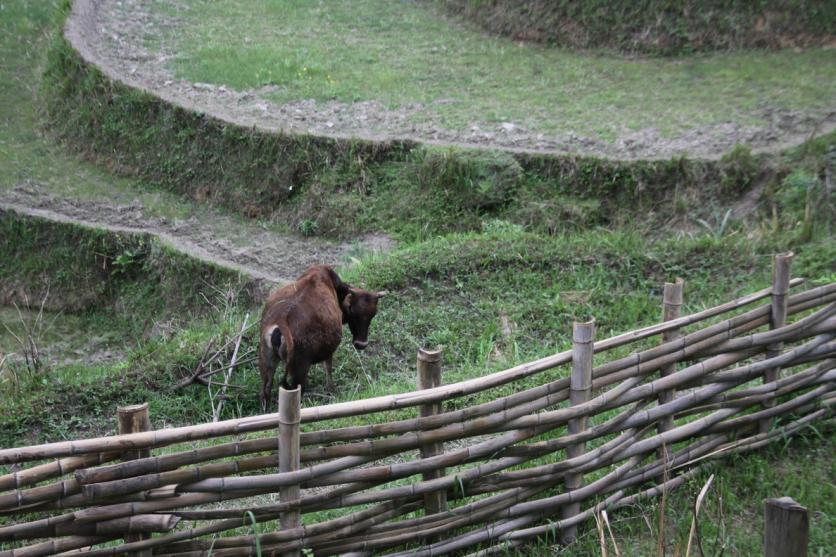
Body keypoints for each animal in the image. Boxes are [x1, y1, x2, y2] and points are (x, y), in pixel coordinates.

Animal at [258, 262, 386, 410]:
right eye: (353, 311)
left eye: (373, 314)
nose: (361, 344)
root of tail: (281, 321)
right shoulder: (329, 351)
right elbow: (328, 373)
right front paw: (332, 392)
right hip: (299, 370)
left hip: (267, 363)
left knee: (265, 392)